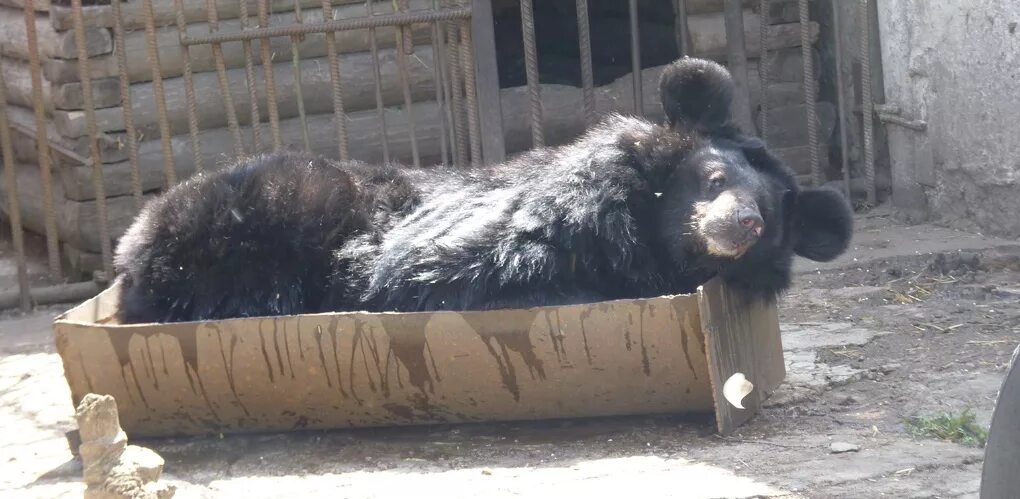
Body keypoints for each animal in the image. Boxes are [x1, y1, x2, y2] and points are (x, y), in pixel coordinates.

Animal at [113, 58, 852, 324]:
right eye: (715, 179)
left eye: (771, 218)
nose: (741, 223)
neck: (641, 236)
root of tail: (133, 243)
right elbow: (445, 270)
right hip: (271, 205)